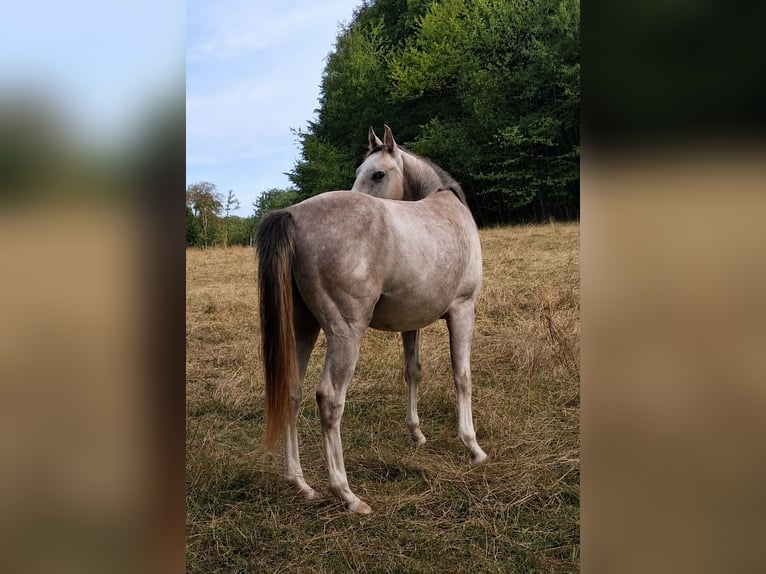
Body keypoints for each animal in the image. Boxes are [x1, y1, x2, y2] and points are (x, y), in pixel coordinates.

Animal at [255, 125, 486, 514]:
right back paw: (347, 494)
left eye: (377, 174)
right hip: (346, 331)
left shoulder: (412, 322)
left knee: (292, 391)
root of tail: (292, 215)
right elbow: (462, 376)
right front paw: (472, 446)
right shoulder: (462, 309)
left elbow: (413, 371)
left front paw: (416, 433)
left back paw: (300, 483)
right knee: (329, 398)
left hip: (303, 329)